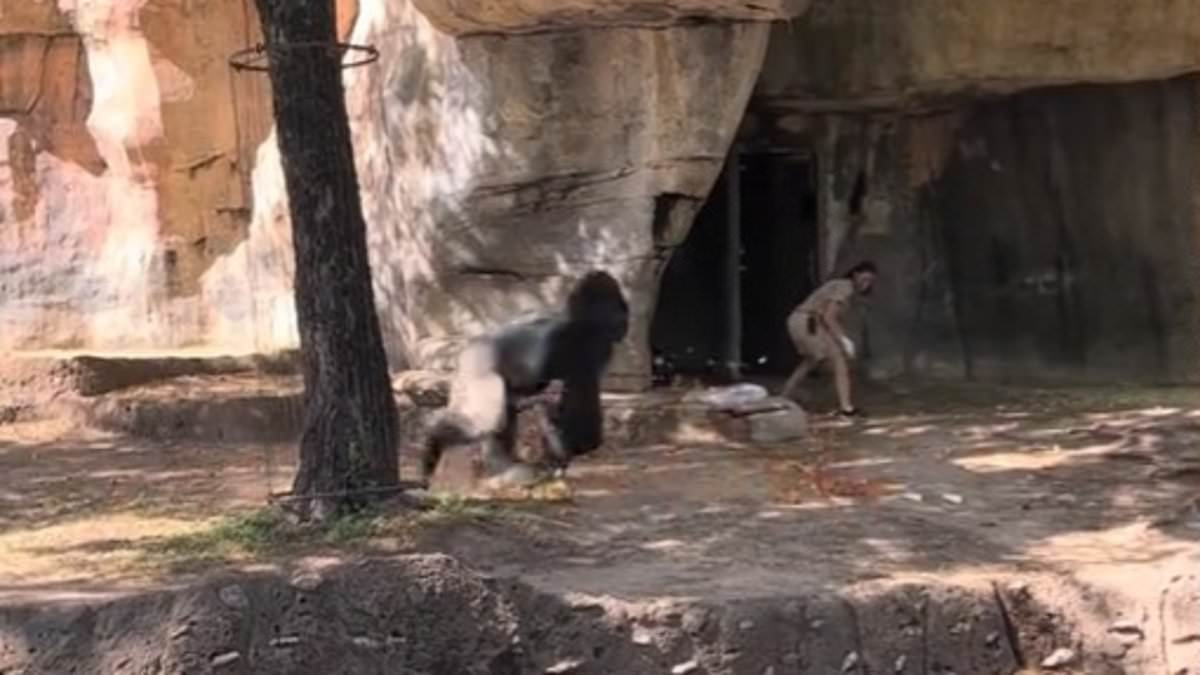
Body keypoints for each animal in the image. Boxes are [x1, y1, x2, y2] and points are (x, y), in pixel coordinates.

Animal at [420, 267, 633, 482]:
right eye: (619, 311)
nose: (625, 324)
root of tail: (469, 348)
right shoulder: (587, 344)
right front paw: (571, 449)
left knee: (502, 415)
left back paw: (503, 465)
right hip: (478, 364)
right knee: (484, 421)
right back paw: (432, 436)